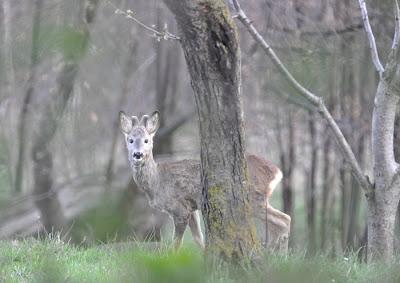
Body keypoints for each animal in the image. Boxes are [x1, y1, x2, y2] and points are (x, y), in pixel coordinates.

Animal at [119, 110, 290, 251]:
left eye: (146, 140)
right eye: (130, 140)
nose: (138, 154)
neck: (157, 182)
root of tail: (277, 171)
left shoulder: (179, 208)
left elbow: (176, 244)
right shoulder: (192, 207)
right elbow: (198, 238)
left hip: (253, 199)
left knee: (283, 221)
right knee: (280, 223)